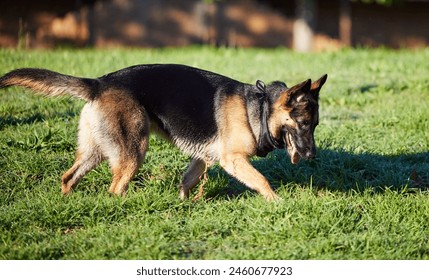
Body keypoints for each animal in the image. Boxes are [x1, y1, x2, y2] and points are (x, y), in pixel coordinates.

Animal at [0, 65, 326, 201]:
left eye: (315, 125)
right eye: (303, 124)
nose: (312, 156)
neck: (258, 108)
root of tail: (99, 83)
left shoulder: (202, 158)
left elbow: (187, 181)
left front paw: (183, 204)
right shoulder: (232, 160)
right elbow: (262, 180)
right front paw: (277, 202)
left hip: (95, 150)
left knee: (69, 177)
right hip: (133, 151)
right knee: (115, 188)